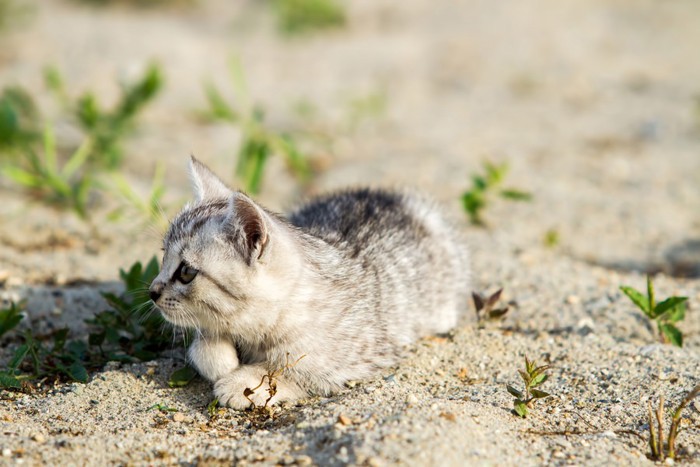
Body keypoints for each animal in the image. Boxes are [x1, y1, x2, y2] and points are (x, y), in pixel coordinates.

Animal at [148, 158, 470, 410]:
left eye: (186, 272)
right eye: (163, 255)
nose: (152, 291)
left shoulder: (351, 362)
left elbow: (290, 372)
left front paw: (242, 381)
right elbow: (204, 344)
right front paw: (220, 358)